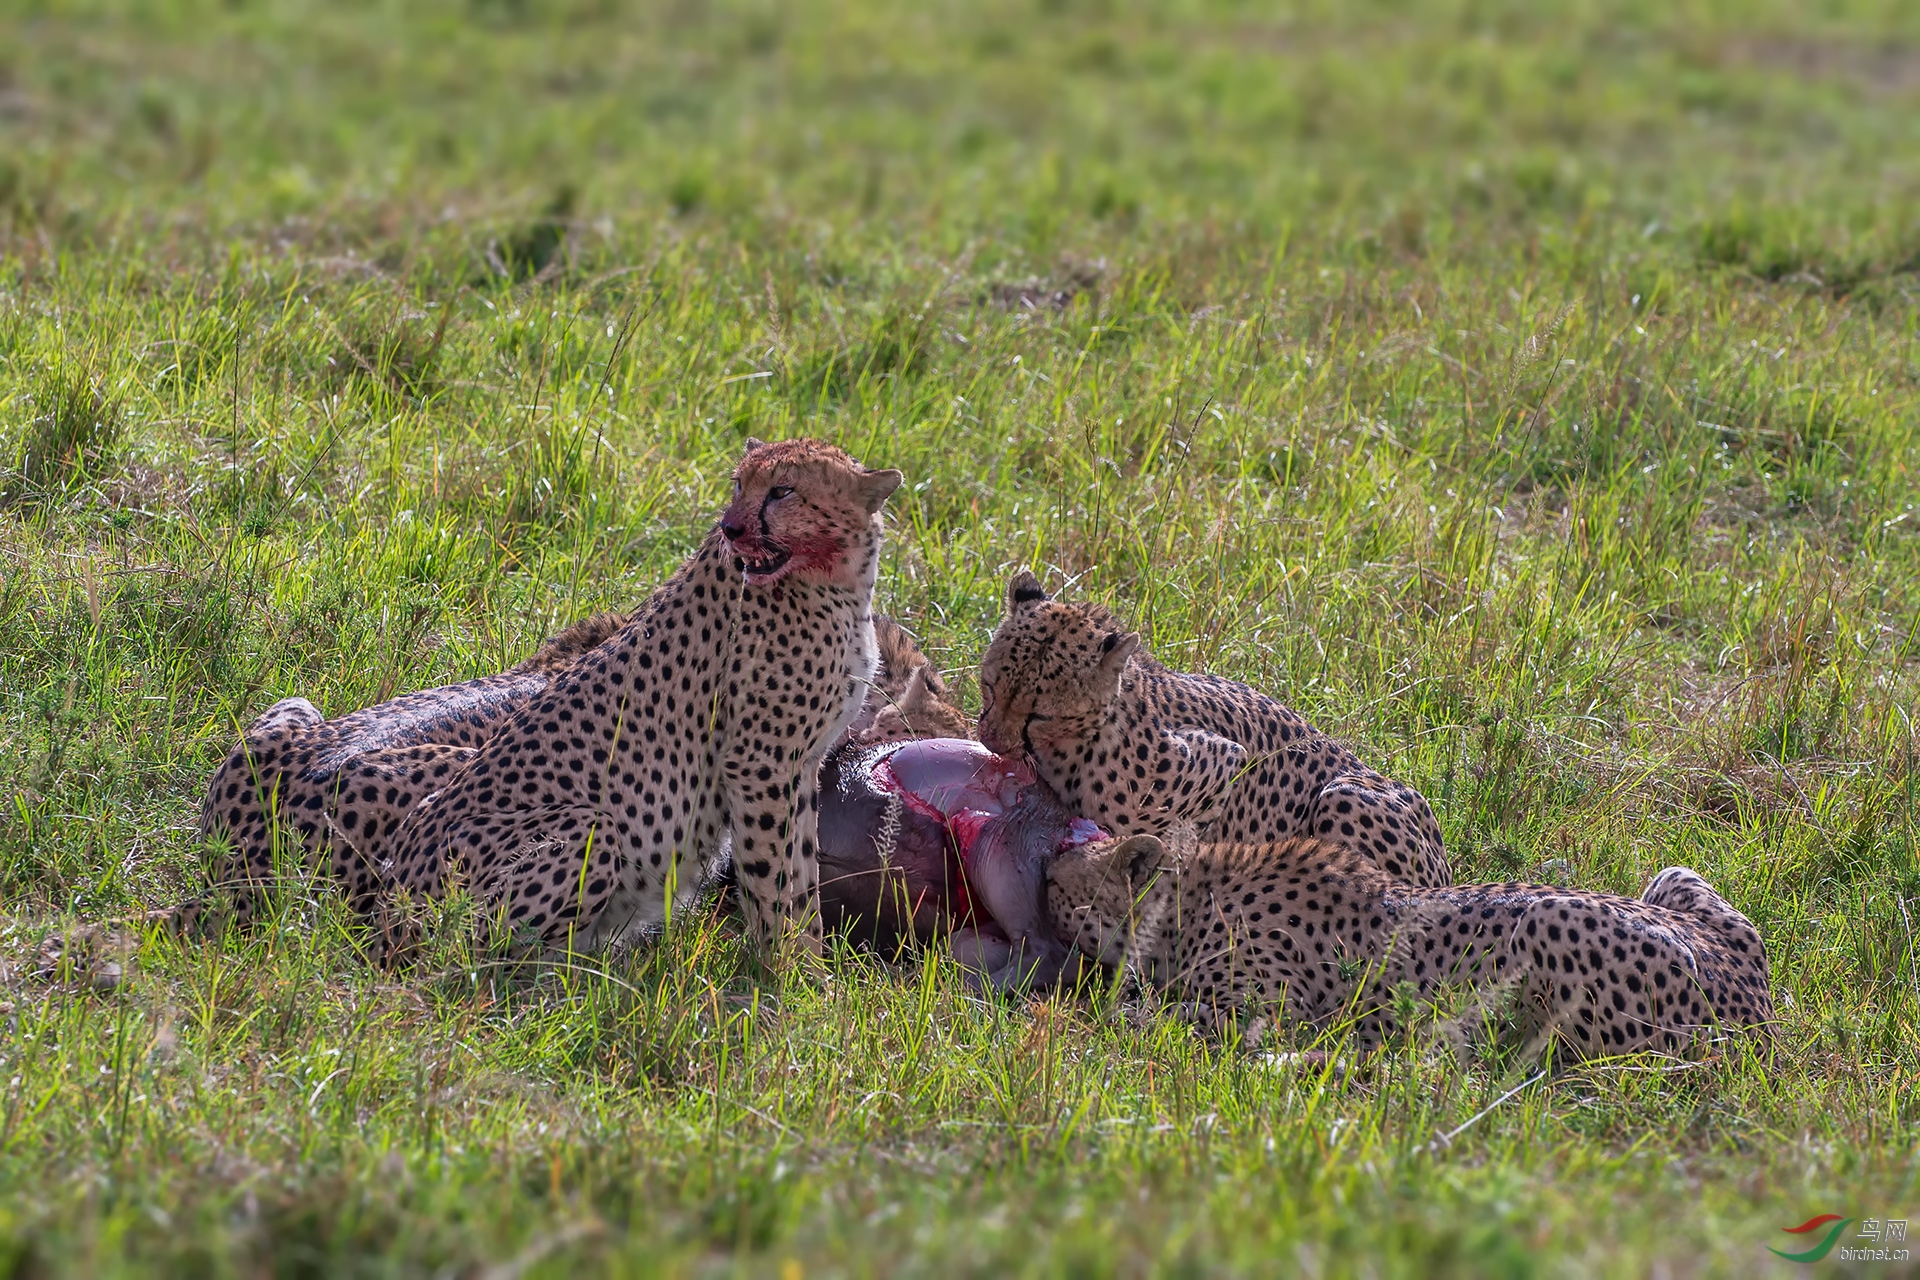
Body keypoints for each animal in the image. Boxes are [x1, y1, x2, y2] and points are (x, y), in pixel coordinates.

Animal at [384, 435, 906, 955]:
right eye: (740, 484)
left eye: (783, 491)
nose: (731, 528)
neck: (835, 579)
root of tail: (390, 905)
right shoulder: (759, 764)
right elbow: (772, 884)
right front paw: (783, 967)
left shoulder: (801, 764)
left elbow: (803, 876)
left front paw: (809, 966)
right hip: (588, 830)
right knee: (484, 955)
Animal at [1044, 832, 1774, 1059]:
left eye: (1056, 879)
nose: (1041, 870)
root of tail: (1760, 1017)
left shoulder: (1269, 1012)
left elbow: (1155, 1015)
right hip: (1673, 877)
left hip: (1547, 922)